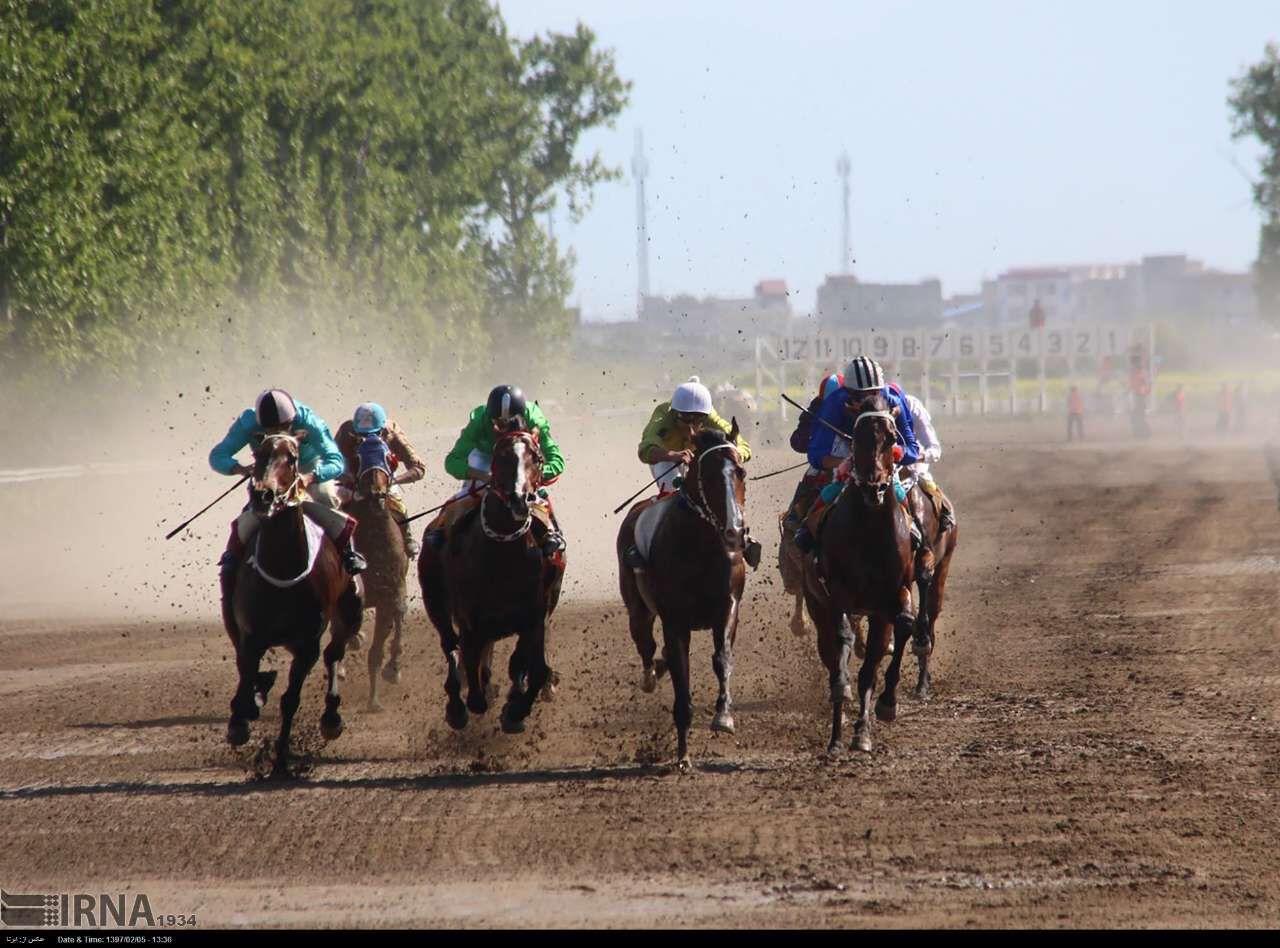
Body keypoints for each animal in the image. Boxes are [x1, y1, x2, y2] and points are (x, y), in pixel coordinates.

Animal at [225, 432, 363, 772]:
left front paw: (280, 761)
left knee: (334, 653)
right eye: (258, 454)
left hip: (349, 611)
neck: (282, 567)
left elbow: (291, 699)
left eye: (293, 458)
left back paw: (331, 718)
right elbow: (245, 678)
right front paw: (240, 721)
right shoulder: (251, 635)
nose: (264, 495)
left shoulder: (306, 643)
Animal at [417, 422, 563, 731]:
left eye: (538, 458)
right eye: (500, 457)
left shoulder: (535, 616)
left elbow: (530, 666)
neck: (502, 555)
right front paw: (474, 700)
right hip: (435, 602)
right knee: (450, 646)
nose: (520, 499)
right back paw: (456, 706)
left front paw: (515, 710)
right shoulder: (470, 620)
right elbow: (471, 669)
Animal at [619, 424, 747, 772]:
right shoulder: (675, 622)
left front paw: (724, 717)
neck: (700, 546)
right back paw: (651, 675)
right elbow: (681, 677)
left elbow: (722, 657)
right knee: (646, 645)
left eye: (740, 472)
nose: (735, 532)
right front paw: (683, 755)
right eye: (710, 475)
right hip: (638, 608)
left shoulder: (728, 606)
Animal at [803, 388, 916, 752]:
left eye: (891, 438)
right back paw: (835, 735)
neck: (870, 530)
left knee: (870, 664)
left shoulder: (891, 595)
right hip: (816, 602)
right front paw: (843, 689)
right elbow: (842, 637)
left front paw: (885, 706)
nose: (874, 488)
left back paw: (859, 730)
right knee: (831, 650)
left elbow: (903, 627)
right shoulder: (838, 592)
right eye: (856, 438)